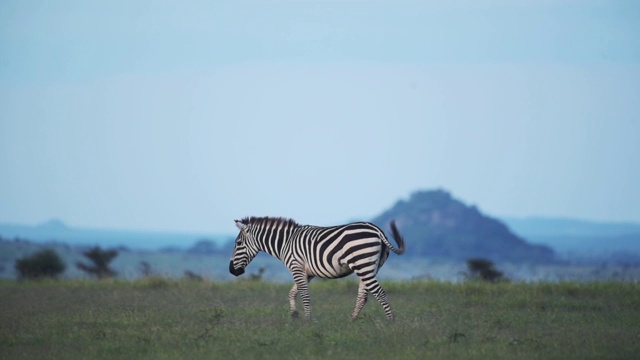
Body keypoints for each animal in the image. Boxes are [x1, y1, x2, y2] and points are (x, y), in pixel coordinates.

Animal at [228, 217, 402, 320]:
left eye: (238, 244)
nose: (231, 271)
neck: (285, 243)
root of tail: (376, 229)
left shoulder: (296, 267)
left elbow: (304, 294)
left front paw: (307, 320)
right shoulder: (307, 272)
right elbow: (292, 292)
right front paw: (294, 314)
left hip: (363, 264)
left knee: (379, 293)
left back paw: (391, 323)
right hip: (370, 266)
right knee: (363, 296)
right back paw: (352, 320)